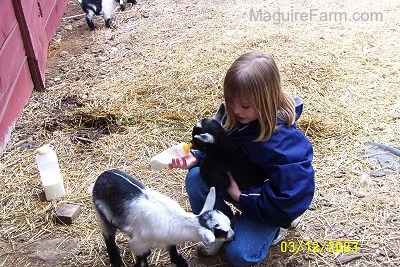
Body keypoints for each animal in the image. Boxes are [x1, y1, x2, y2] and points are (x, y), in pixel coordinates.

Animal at [92, 171, 233, 266]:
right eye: (220, 232)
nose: (233, 236)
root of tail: (103, 175)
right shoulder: (138, 244)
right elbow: (142, 259)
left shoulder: (170, 238)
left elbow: (174, 251)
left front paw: (180, 262)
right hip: (103, 214)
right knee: (108, 237)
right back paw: (115, 260)